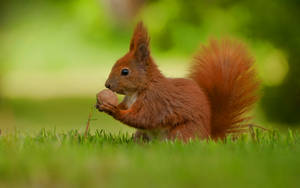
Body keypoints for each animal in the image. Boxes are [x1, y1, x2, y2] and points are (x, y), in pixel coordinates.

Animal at [95, 21, 258, 141]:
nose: (107, 85)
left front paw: (114, 110)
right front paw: (102, 104)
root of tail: (208, 136)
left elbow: (142, 118)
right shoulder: (129, 101)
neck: (138, 90)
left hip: (181, 132)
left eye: (125, 72)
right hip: (143, 135)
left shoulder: (155, 101)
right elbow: (126, 108)